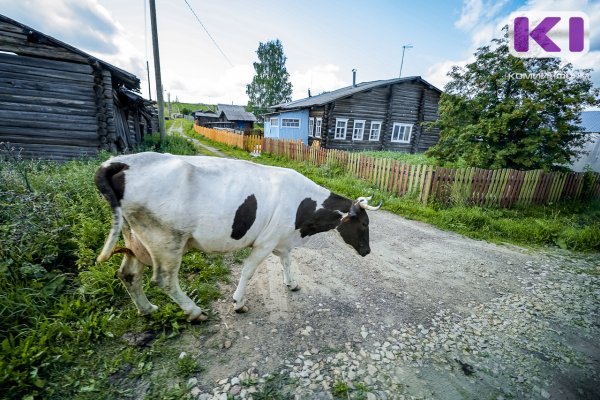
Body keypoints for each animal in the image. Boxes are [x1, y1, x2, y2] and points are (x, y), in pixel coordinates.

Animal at [96, 152, 382, 320]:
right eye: (364, 224)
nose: (368, 251)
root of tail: (121, 162)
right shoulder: (266, 242)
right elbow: (248, 271)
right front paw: (238, 302)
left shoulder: (281, 239)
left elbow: (287, 261)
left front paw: (291, 284)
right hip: (166, 240)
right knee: (164, 280)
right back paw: (195, 312)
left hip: (137, 239)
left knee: (129, 275)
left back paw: (147, 309)